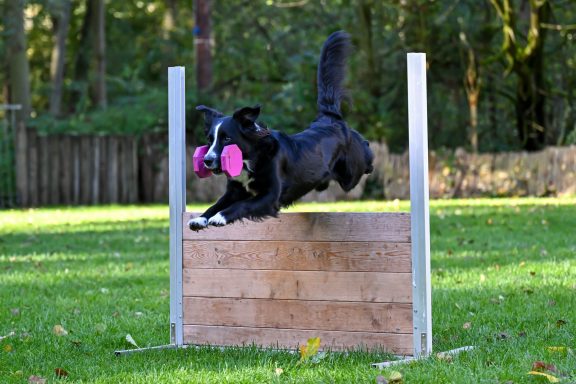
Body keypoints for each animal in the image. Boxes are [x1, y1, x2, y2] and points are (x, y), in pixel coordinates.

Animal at [190, 31, 374, 230]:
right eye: (209, 140)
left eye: (227, 139)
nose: (207, 160)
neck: (252, 158)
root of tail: (329, 118)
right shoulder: (234, 191)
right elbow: (216, 204)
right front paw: (201, 218)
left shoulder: (270, 196)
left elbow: (241, 205)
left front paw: (220, 217)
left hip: (351, 172)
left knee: (365, 154)